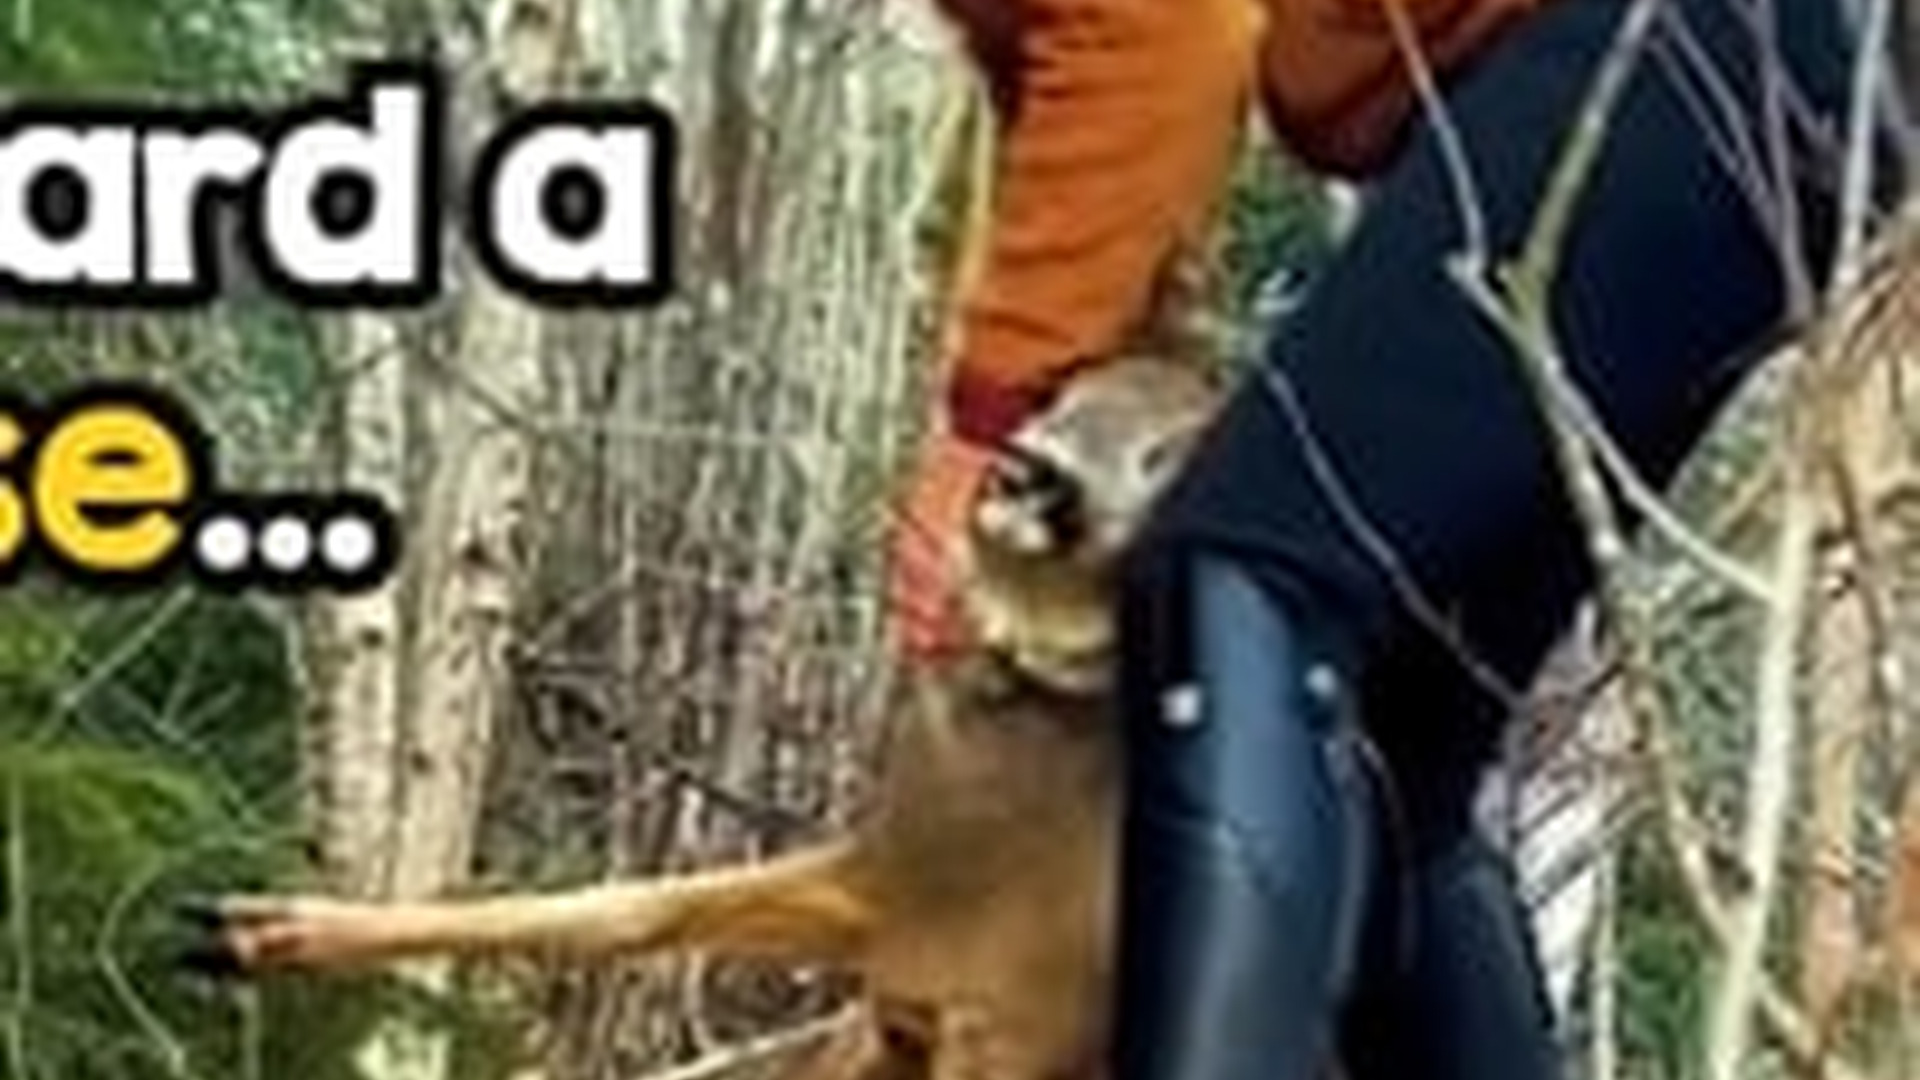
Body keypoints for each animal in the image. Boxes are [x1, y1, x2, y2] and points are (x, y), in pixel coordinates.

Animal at [189, 354, 1224, 1080]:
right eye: (1062, 395)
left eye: (1178, 457)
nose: (1029, 471)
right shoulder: (891, 900)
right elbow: (626, 906)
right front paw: (266, 927)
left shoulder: (1021, 1013)